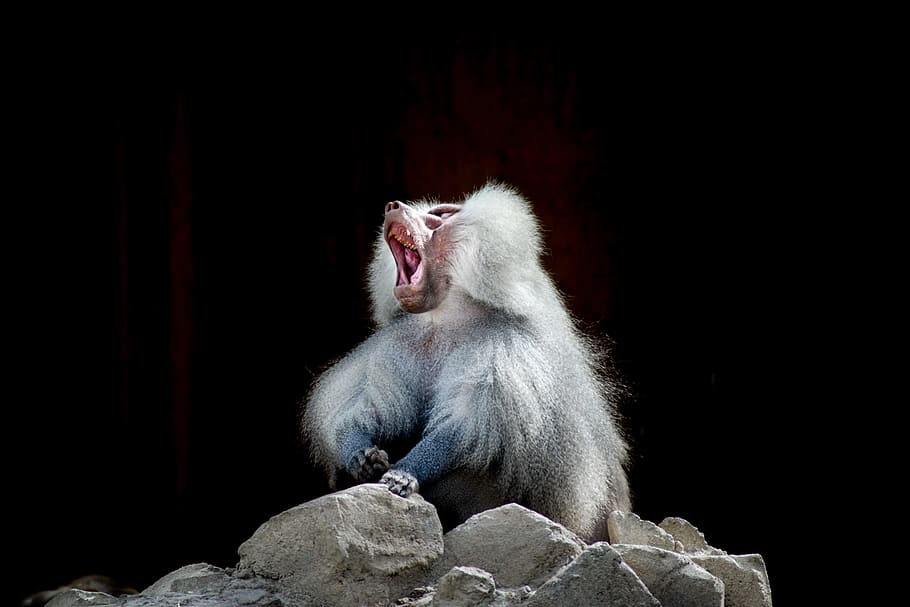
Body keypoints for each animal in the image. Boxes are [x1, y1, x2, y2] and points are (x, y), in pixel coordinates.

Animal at [300, 181, 631, 542]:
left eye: (440, 216)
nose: (391, 206)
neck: (446, 317)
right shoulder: (398, 344)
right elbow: (366, 405)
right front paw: (361, 455)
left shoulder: (503, 350)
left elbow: (463, 427)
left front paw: (404, 473)